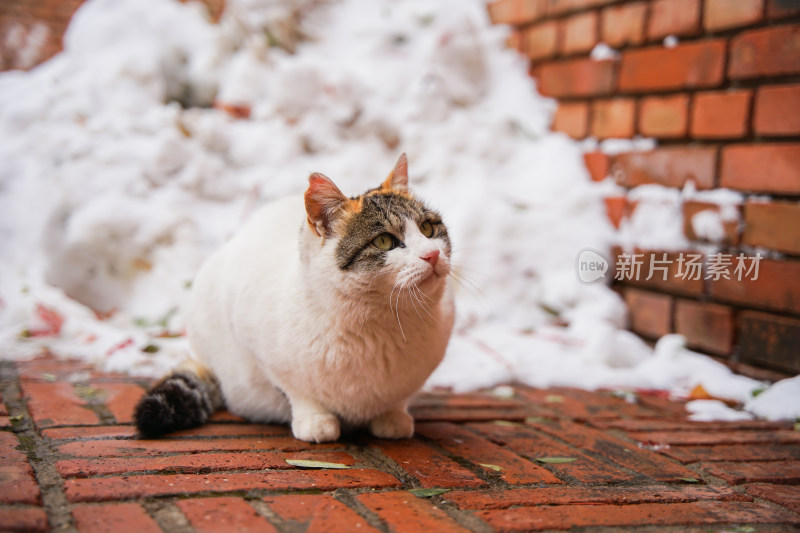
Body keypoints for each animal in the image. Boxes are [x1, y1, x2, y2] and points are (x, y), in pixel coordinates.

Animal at [134, 153, 454, 440]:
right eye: (385, 241)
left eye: (428, 228)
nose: (432, 254)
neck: (382, 326)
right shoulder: (257, 344)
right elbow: (297, 390)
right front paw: (315, 420)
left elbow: (398, 398)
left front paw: (392, 417)